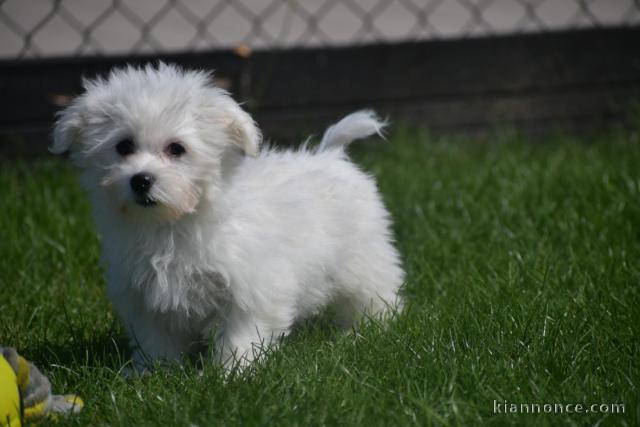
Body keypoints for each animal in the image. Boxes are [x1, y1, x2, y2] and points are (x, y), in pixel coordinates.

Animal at [53, 63, 404, 372]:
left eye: (176, 149)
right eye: (123, 146)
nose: (141, 180)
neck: (176, 223)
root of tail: (332, 155)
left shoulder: (251, 287)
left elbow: (242, 334)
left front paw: (231, 374)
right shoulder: (145, 296)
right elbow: (156, 340)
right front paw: (153, 374)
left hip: (363, 259)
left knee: (375, 295)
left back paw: (366, 333)